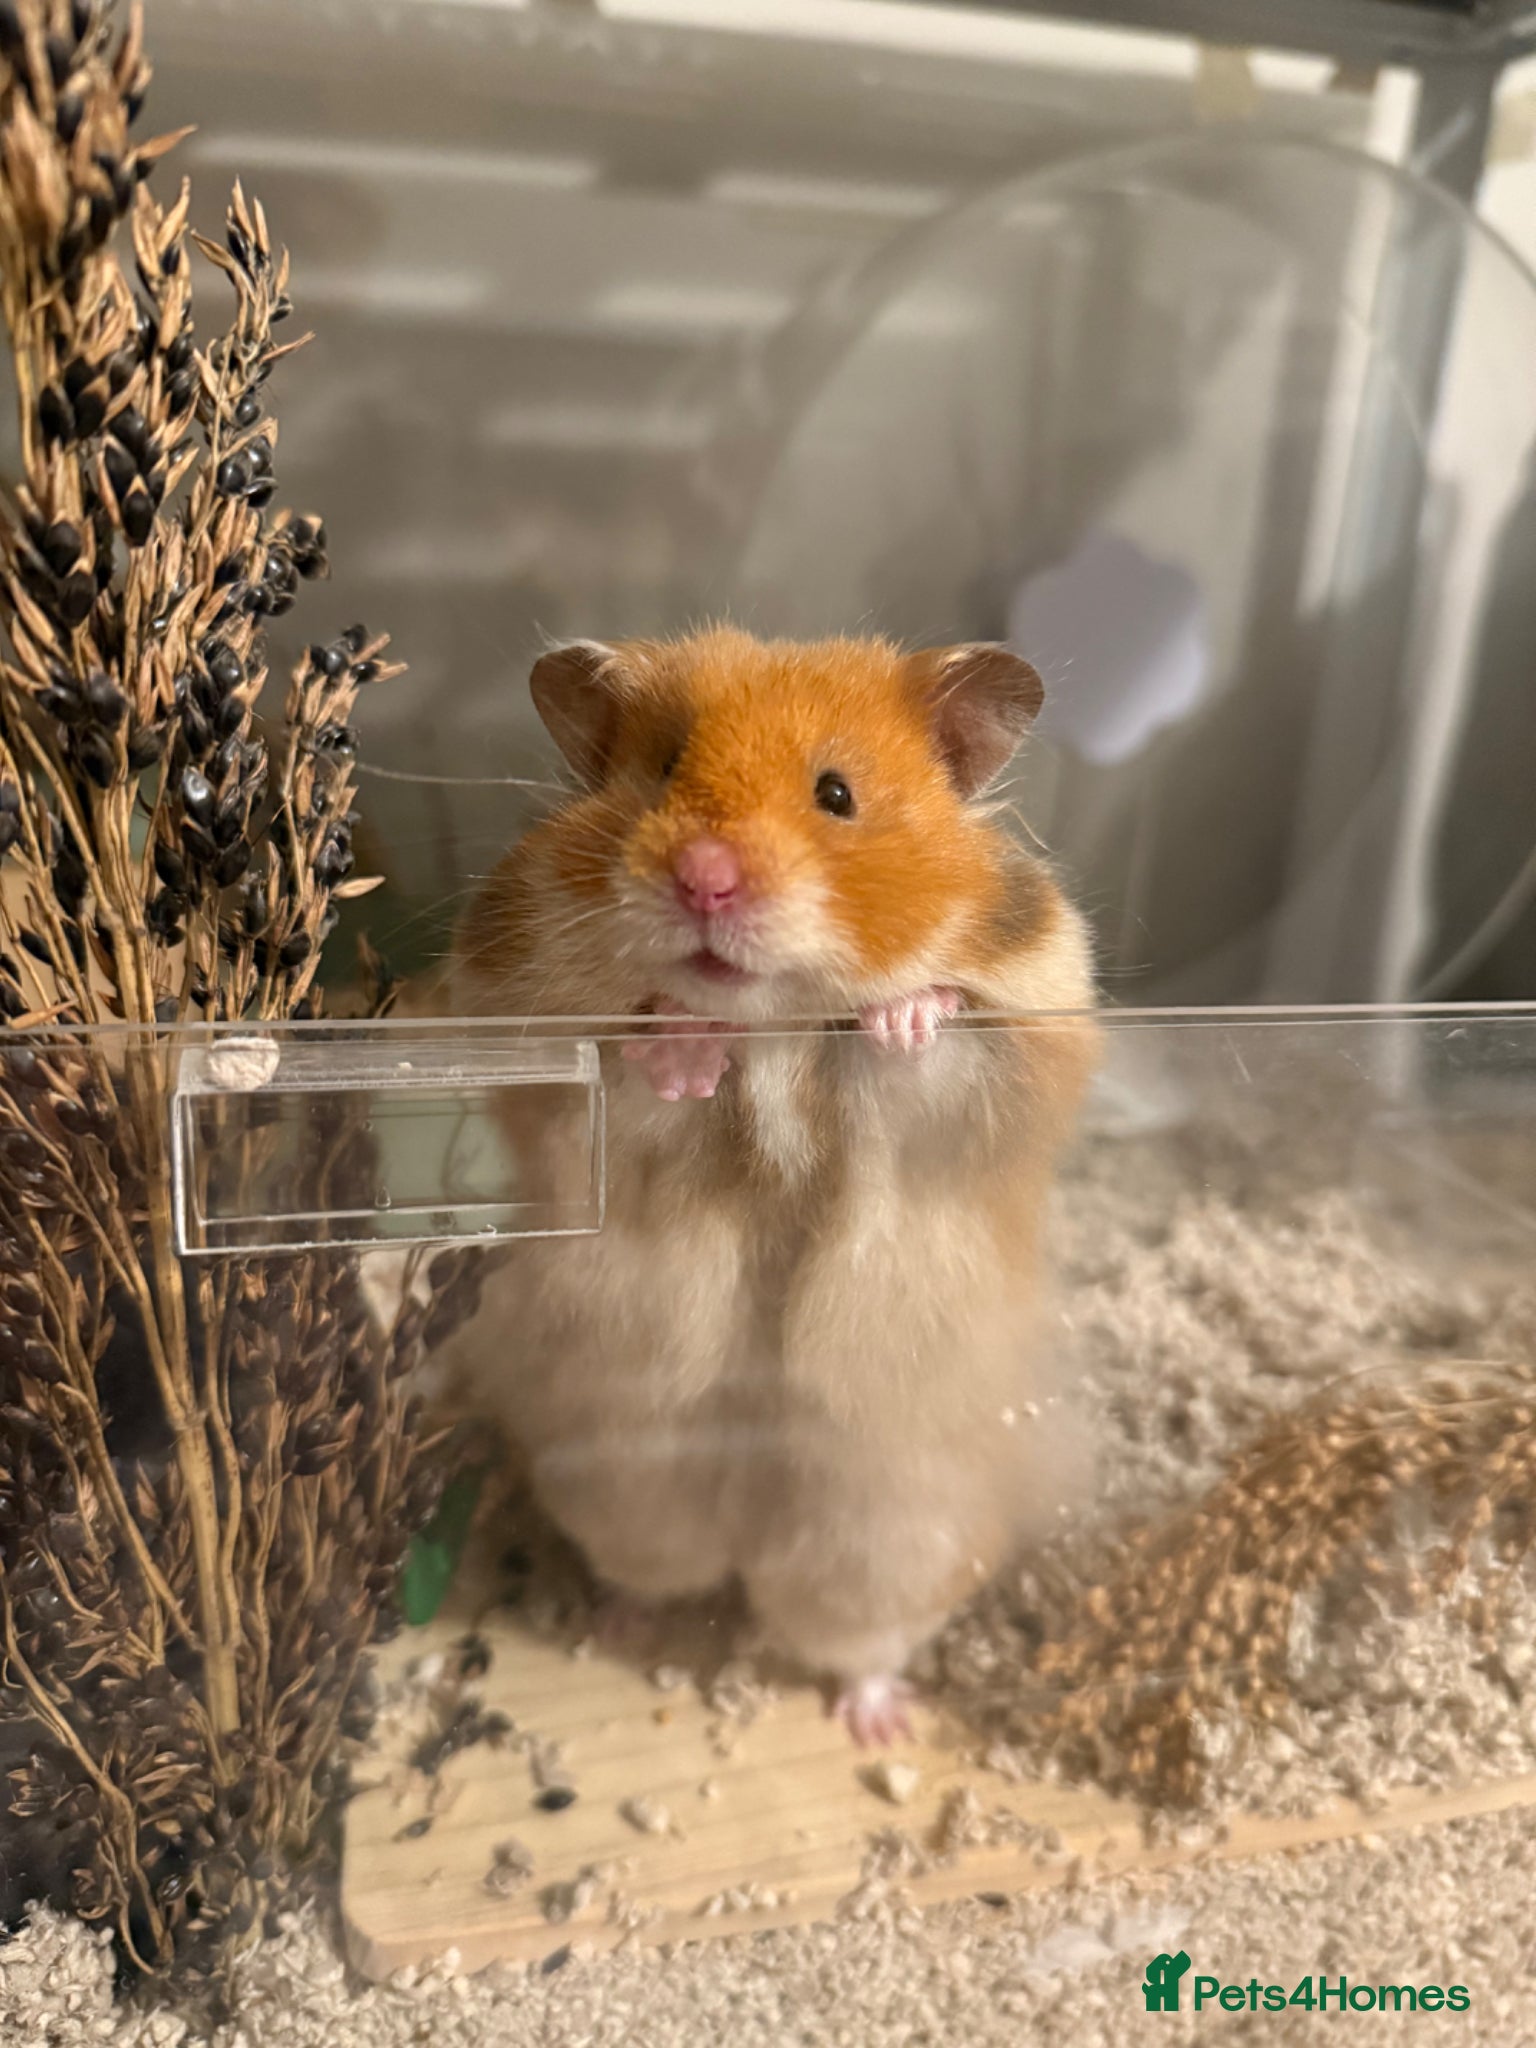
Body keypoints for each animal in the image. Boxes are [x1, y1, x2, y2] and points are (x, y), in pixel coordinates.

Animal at [450, 626, 1098, 1742]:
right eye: (665, 768)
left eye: (836, 793)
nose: (706, 880)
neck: (775, 1026)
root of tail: (745, 1525)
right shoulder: (536, 1047)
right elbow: (634, 1068)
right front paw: (687, 1042)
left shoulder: (1015, 1058)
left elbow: (926, 1054)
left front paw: (901, 1017)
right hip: (623, 1479)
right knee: (656, 1567)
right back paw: (616, 1628)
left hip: (891, 1532)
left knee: (852, 1633)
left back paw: (882, 1721)